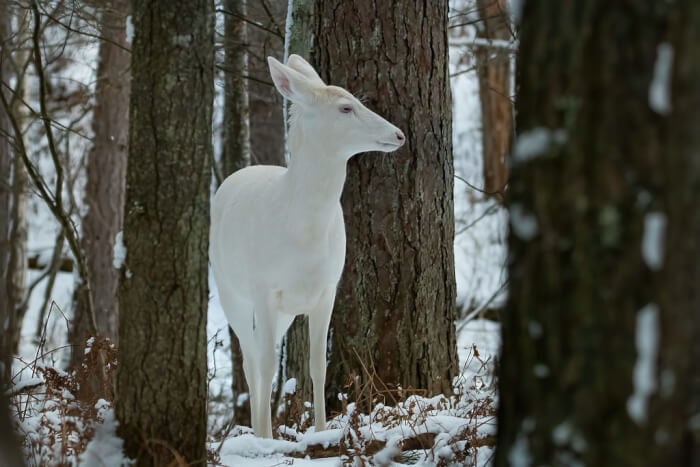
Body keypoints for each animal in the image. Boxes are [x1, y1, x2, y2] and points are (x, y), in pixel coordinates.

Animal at [209, 54, 404, 438]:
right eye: (346, 107)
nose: (399, 134)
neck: (304, 233)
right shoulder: (264, 287)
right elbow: (268, 365)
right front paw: (267, 439)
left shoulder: (328, 287)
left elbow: (317, 364)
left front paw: (322, 430)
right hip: (230, 289)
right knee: (252, 360)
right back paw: (258, 431)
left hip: (284, 311)